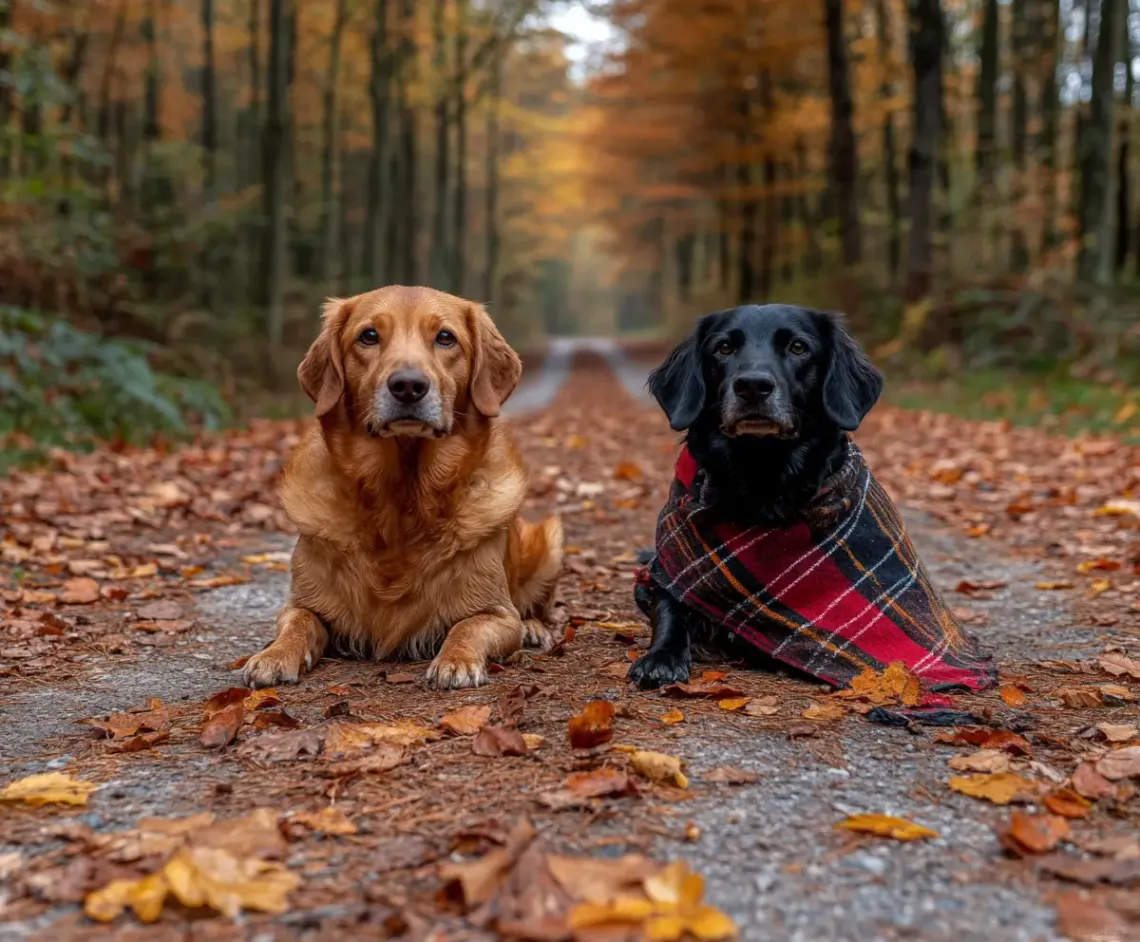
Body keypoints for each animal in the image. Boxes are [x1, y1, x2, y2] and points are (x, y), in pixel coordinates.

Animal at [633, 305, 880, 684]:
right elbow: (669, 606)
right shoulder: (663, 571)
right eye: (723, 347)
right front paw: (662, 656)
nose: (752, 386)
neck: (761, 472)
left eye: (798, 347)